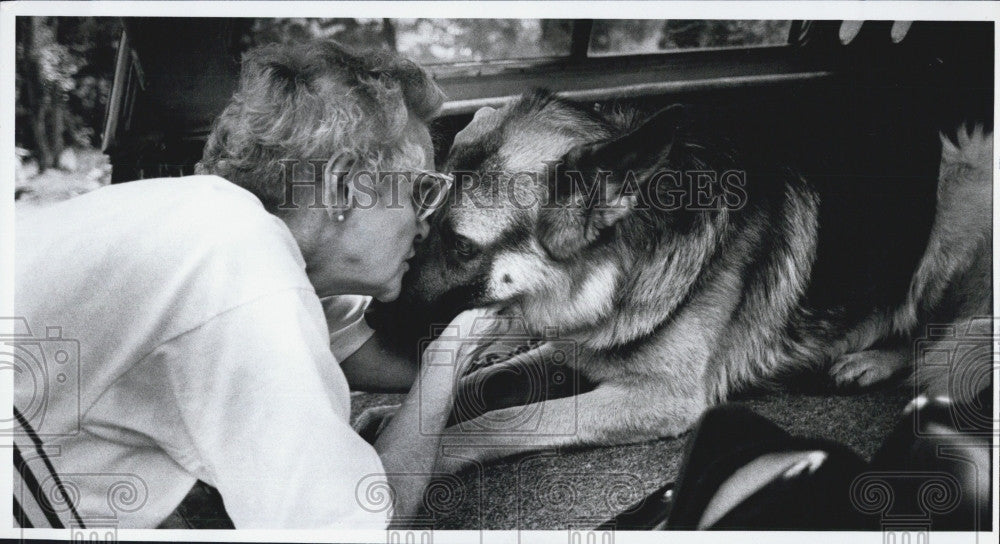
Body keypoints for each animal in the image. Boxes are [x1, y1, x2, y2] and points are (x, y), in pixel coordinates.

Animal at [372, 89, 988, 472]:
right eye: (425, 224)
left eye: (461, 245)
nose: (372, 315)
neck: (617, 269)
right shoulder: (581, 348)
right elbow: (487, 380)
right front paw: (398, 417)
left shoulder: (659, 397)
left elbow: (505, 417)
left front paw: (436, 449)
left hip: (962, 192)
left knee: (939, 336)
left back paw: (873, 359)